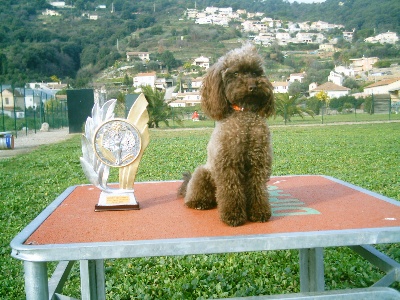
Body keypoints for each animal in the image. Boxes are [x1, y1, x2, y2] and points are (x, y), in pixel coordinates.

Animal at [178, 43, 276, 226]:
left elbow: (258, 189)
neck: (244, 114)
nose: (253, 86)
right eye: (235, 73)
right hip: (203, 173)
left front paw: (259, 212)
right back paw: (199, 202)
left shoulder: (258, 163)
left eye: (255, 72)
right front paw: (233, 215)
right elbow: (231, 191)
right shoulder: (228, 165)